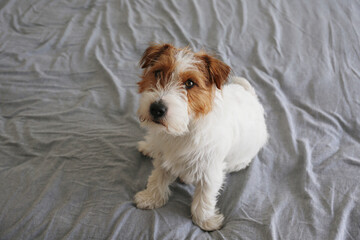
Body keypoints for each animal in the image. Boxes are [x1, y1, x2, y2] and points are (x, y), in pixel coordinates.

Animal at [134, 43, 268, 231]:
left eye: (190, 83)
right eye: (158, 73)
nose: (156, 109)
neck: (184, 129)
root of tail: (251, 96)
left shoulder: (211, 171)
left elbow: (204, 197)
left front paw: (205, 220)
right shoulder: (163, 158)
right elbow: (157, 178)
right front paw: (150, 198)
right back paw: (149, 146)